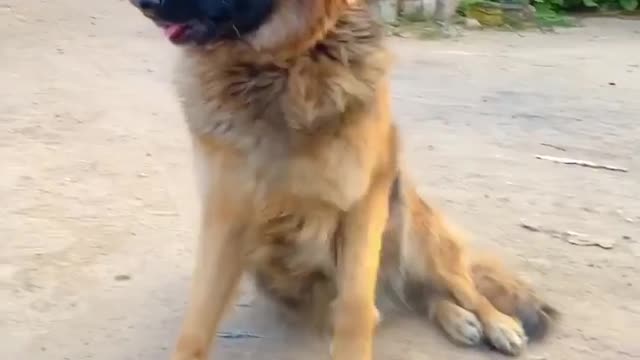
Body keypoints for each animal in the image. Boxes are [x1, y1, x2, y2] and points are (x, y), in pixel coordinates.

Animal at [129, 0, 556, 360]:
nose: (141, 5)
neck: (282, 64)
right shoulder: (225, 217)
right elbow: (197, 322)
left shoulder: (362, 203)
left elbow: (355, 311)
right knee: (421, 297)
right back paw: (457, 319)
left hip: (417, 234)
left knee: (463, 286)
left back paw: (495, 322)